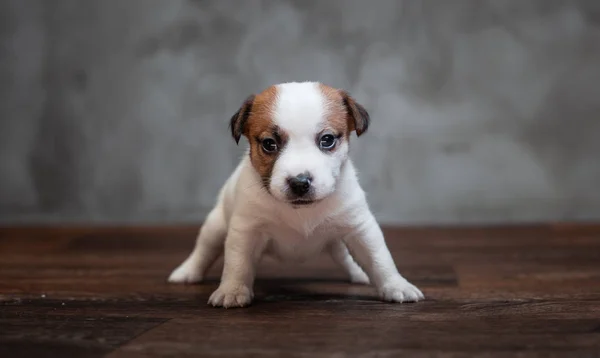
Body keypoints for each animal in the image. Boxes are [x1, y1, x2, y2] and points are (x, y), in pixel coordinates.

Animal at [166, 81, 424, 308]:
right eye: (269, 143)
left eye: (327, 140)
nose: (300, 182)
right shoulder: (245, 230)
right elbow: (237, 263)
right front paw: (232, 290)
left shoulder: (360, 228)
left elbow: (379, 258)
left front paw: (396, 285)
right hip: (216, 225)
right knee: (204, 250)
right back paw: (187, 272)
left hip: (338, 240)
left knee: (346, 258)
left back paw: (359, 273)